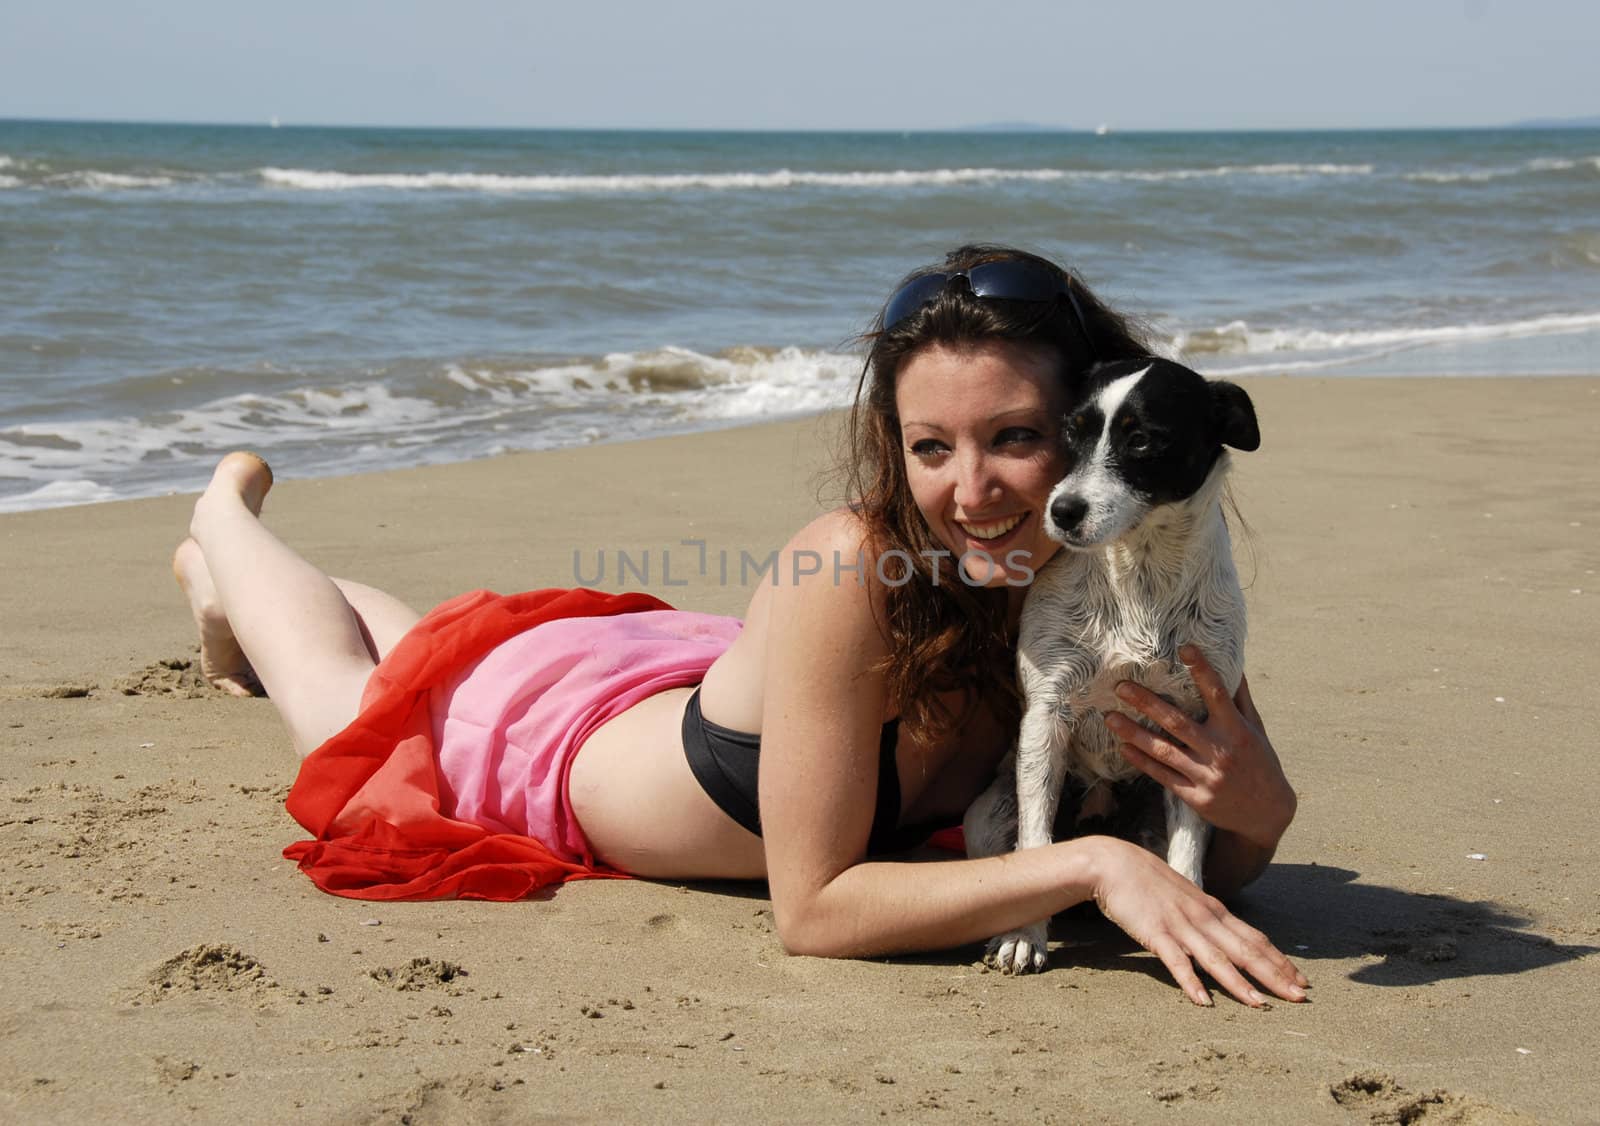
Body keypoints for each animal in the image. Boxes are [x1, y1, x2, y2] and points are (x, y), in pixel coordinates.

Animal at [960, 358, 1260, 978]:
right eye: (1071, 432)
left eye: (1142, 440)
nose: (1062, 511)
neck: (1140, 571)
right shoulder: (1046, 716)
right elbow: (1035, 848)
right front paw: (1025, 936)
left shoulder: (1197, 730)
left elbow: (1186, 856)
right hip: (986, 816)